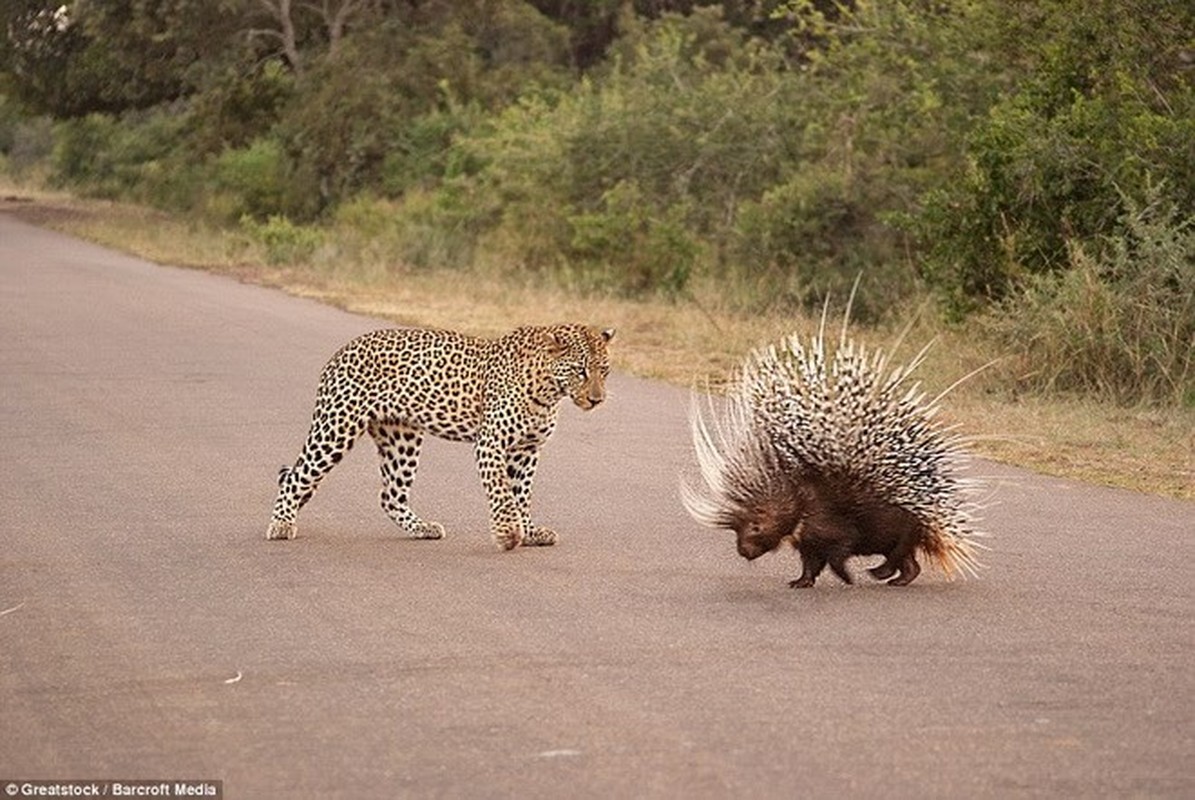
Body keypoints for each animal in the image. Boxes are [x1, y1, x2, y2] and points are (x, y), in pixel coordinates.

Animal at [265, 322, 611, 550]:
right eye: (580, 370)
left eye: (604, 371)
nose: (597, 399)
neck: (549, 391)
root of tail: (339, 352)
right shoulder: (491, 443)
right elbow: (502, 492)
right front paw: (507, 534)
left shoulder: (527, 449)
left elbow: (521, 495)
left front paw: (529, 531)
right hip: (336, 428)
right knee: (296, 476)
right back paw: (281, 524)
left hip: (401, 439)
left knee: (390, 495)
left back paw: (422, 528)